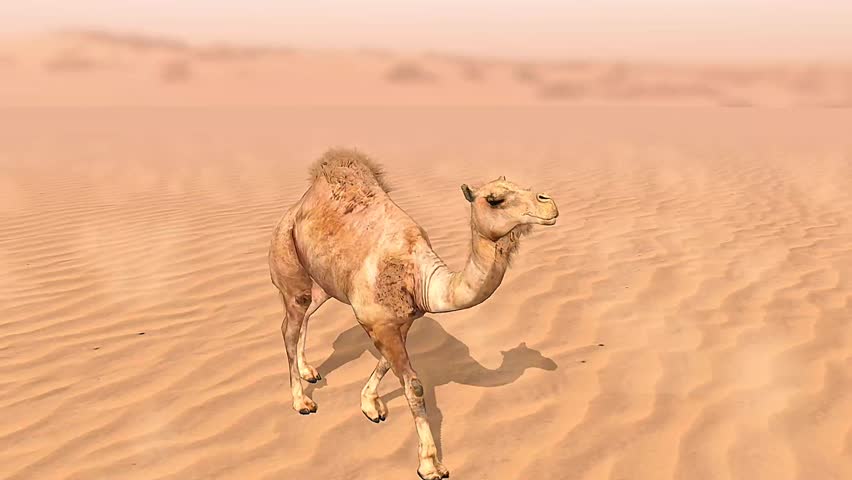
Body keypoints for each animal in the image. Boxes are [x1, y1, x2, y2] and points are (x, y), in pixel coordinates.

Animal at [268, 148, 559, 480]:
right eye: (494, 199)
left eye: (521, 186)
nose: (548, 202)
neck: (420, 277)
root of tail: (296, 206)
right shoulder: (378, 322)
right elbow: (415, 386)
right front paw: (430, 465)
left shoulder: (403, 319)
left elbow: (386, 364)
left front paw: (371, 405)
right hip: (287, 258)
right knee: (289, 327)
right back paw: (301, 401)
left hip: (324, 282)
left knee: (306, 314)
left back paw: (309, 371)